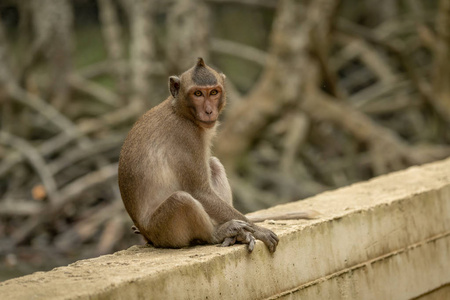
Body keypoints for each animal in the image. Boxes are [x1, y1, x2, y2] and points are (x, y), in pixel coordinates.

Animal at [119, 56, 316, 253]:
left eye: (214, 92)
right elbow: (199, 191)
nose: (209, 111)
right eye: (198, 94)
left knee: (213, 164)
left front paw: (250, 230)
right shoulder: (186, 135)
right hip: (163, 231)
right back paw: (216, 233)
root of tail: (148, 235)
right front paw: (259, 230)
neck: (180, 111)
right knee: (182, 199)